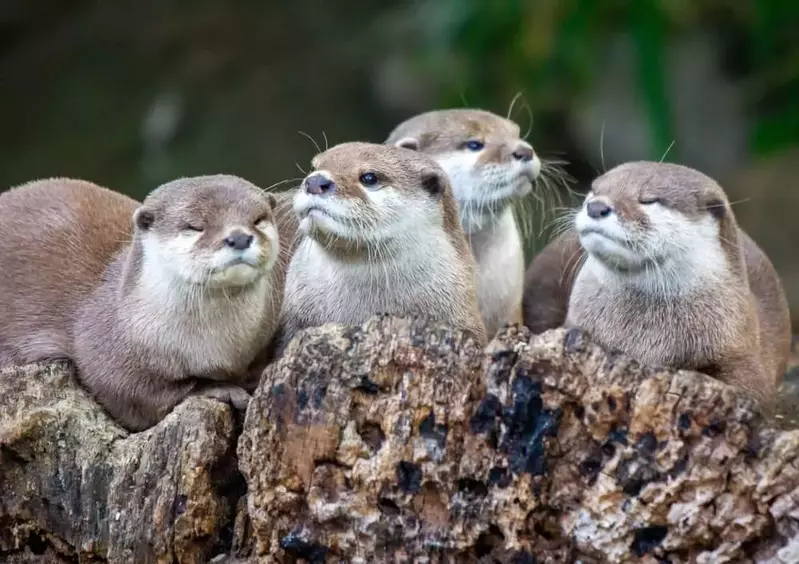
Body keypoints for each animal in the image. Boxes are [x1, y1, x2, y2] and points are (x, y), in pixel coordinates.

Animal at [0, 176, 282, 431]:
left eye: (258, 219)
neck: (217, 349)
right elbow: (138, 395)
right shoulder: (106, 351)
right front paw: (219, 388)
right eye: (195, 226)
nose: (239, 237)